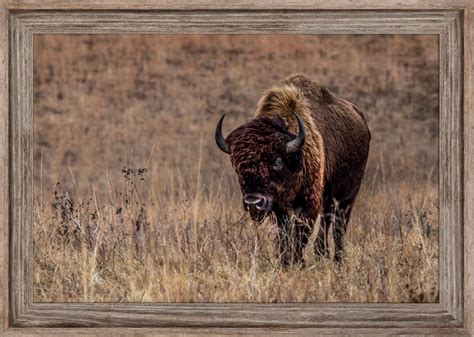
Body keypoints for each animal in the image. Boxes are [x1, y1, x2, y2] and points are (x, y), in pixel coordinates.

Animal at [215, 73, 370, 266]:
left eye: (277, 161)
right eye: (237, 164)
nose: (253, 203)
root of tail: (361, 119)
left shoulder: (308, 205)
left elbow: (300, 237)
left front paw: (297, 262)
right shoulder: (279, 210)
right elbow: (284, 238)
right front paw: (286, 262)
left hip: (347, 196)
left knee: (339, 227)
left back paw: (338, 260)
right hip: (329, 198)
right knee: (327, 221)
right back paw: (321, 254)